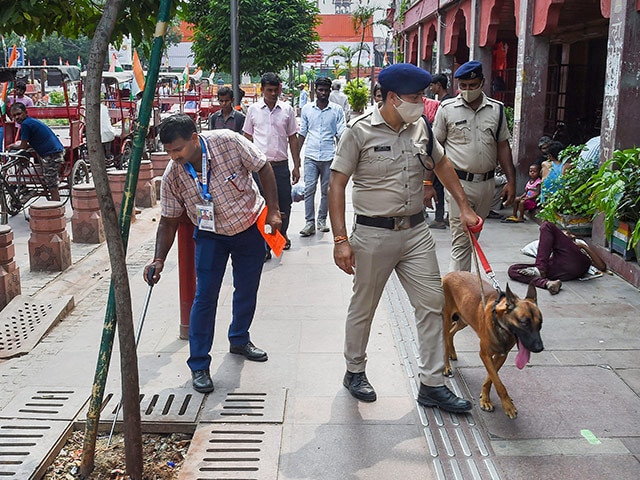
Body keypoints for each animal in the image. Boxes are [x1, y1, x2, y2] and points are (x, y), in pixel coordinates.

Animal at [442, 272, 544, 418]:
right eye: (524, 323)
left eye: (540, 324)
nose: (539, 348)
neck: (501, 326)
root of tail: (450, 274)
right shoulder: (484, 355)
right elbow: (498, 382)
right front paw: (508, 405)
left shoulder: (501, 356)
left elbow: (491, 378)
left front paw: (485, 398)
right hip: (447, 319)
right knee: (445, 337)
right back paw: (446, 365)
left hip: (464, 319)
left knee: (451, 333)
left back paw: (453, 353)